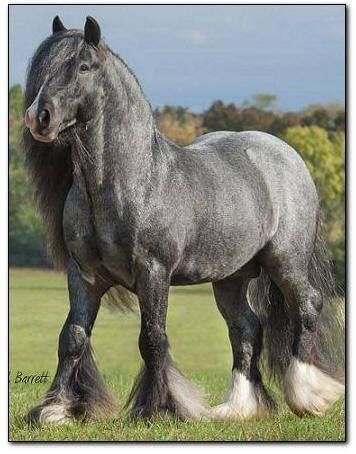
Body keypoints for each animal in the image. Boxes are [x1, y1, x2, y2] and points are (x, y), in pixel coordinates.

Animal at [23, 14, 344, 424]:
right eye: (44, 67)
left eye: (83, 66)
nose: (39, 117)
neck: (129, 180)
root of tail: (287, 154)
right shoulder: (84, 276)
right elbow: (73, 338)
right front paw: (55, 410)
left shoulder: (153, 272)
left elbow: (152, 339)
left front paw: (157, 408)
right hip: (231, 278)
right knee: (246, 328)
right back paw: (237, 407)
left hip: (286, 262)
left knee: (305, 307)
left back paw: (308, 396)